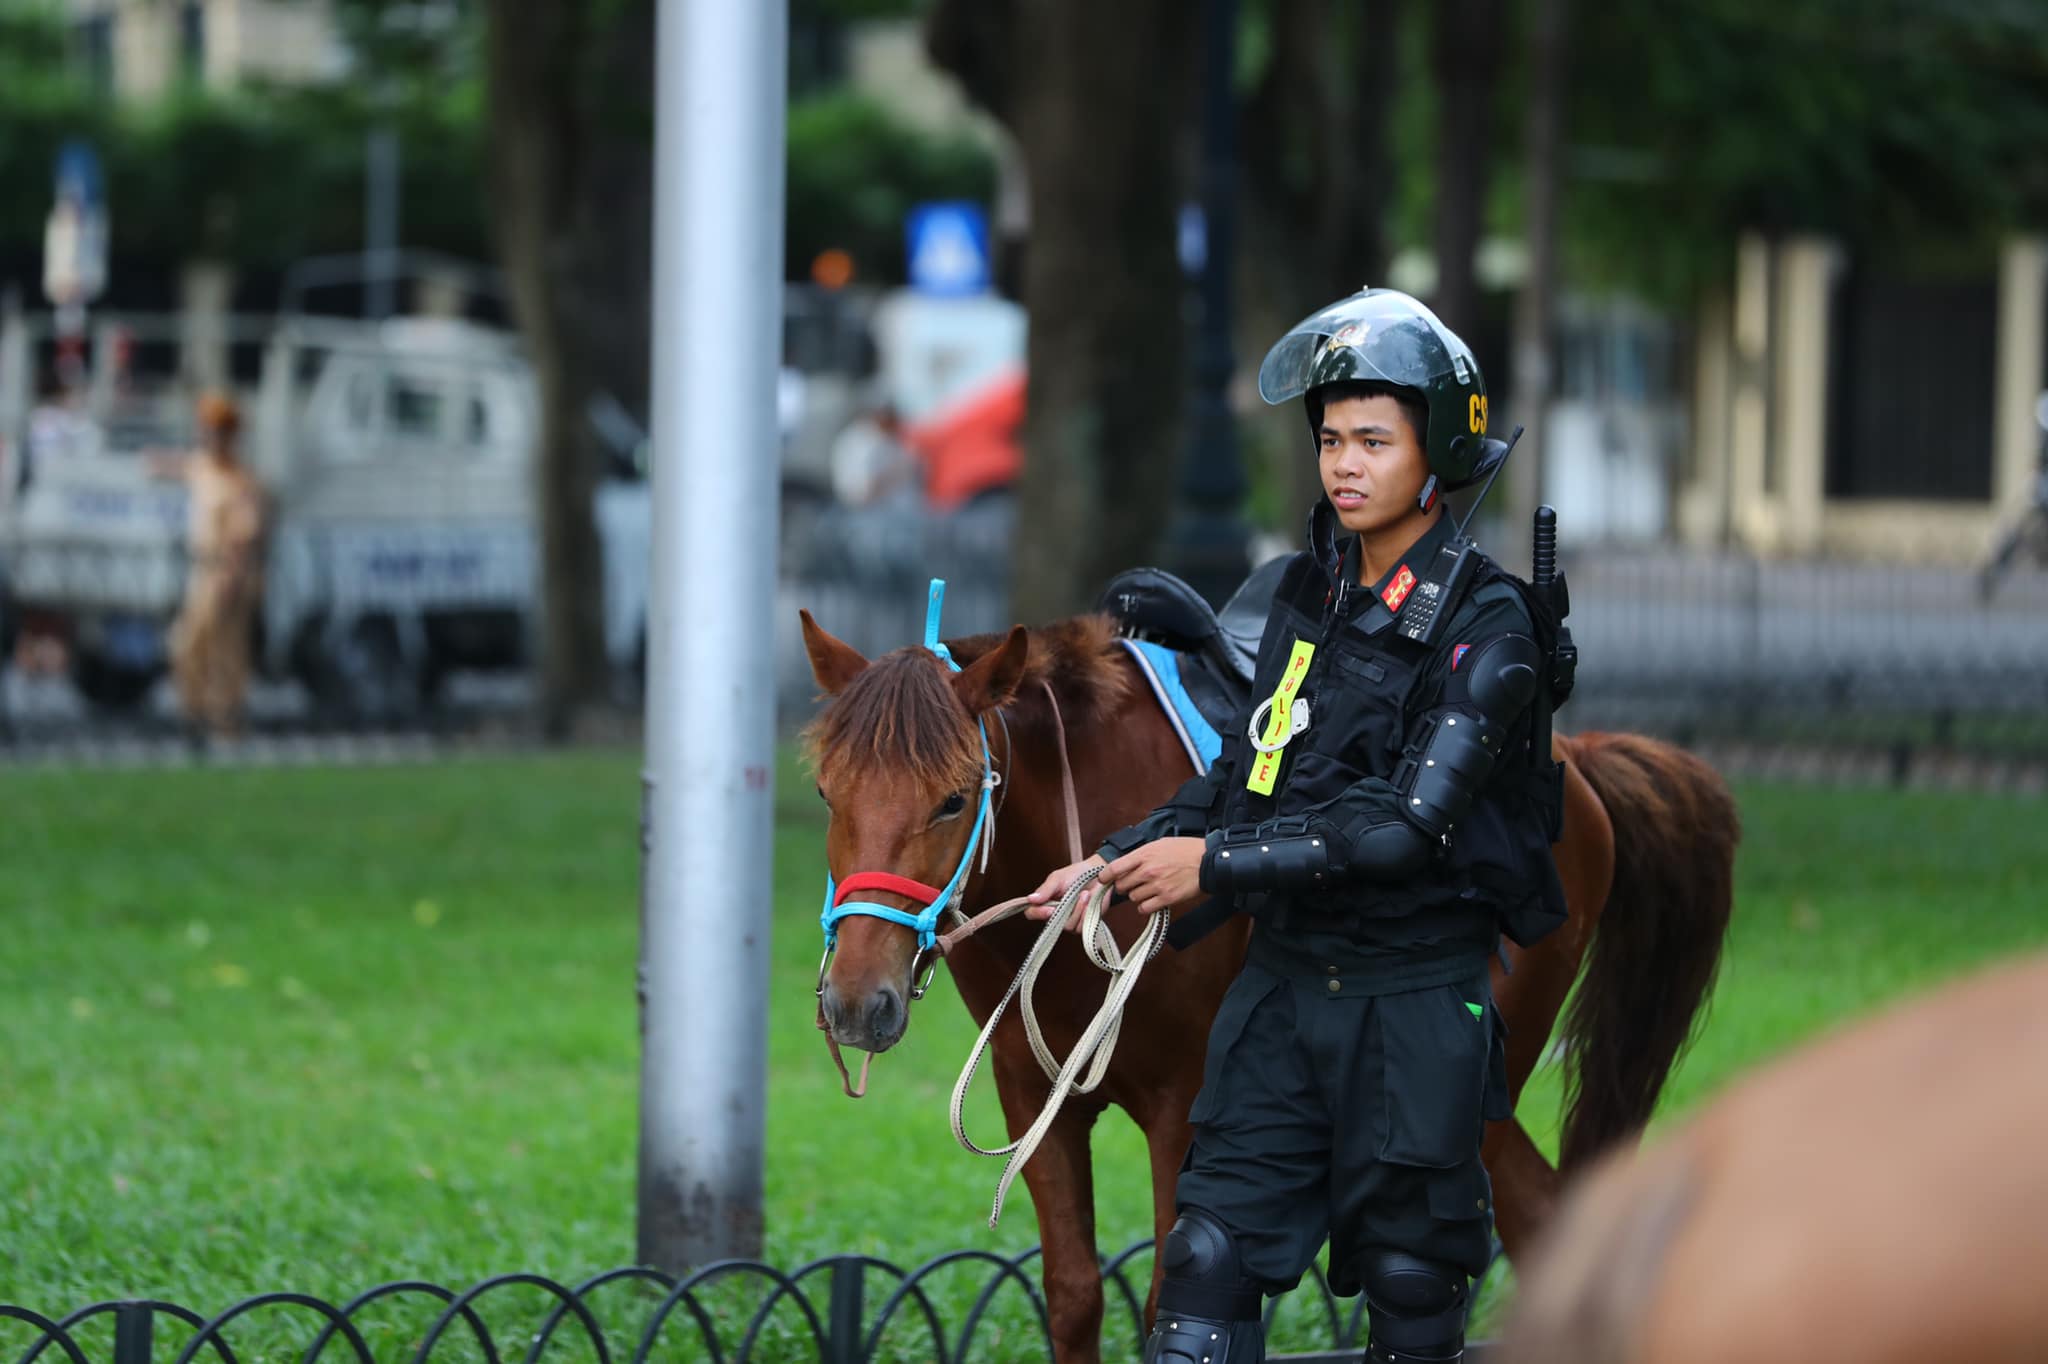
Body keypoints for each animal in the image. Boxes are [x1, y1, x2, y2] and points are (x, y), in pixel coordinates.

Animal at [798, 606, 1744, 1359]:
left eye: (954, 800)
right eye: (827, 794)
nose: (856, 1001)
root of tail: (1577, 761)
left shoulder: (1187, 1105)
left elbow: (1170, 1290)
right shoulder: (1036, 1099)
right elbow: (1073, 1296)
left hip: (1466, 1090)